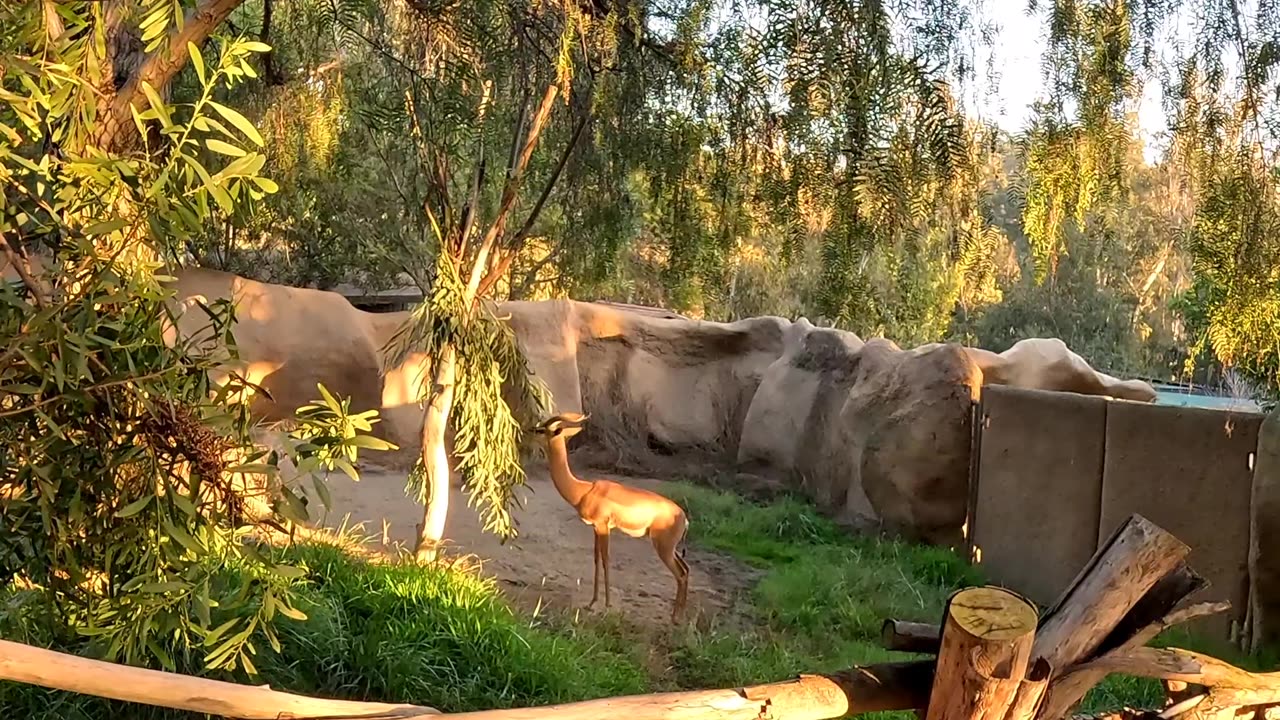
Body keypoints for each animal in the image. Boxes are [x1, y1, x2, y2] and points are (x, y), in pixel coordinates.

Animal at [527, 412, 691, 620]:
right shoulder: (596, 529)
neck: (583, 491)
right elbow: (597, 560)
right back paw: (680, 616)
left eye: (542, 430)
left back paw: (675, 618)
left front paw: (606, 604)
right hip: (671, 549)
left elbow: (605, 560)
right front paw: (592, 602)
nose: (528, 430)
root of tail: (684, 518)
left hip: (664, 549)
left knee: (680, 574)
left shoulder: (603, 527)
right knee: (686, 569)